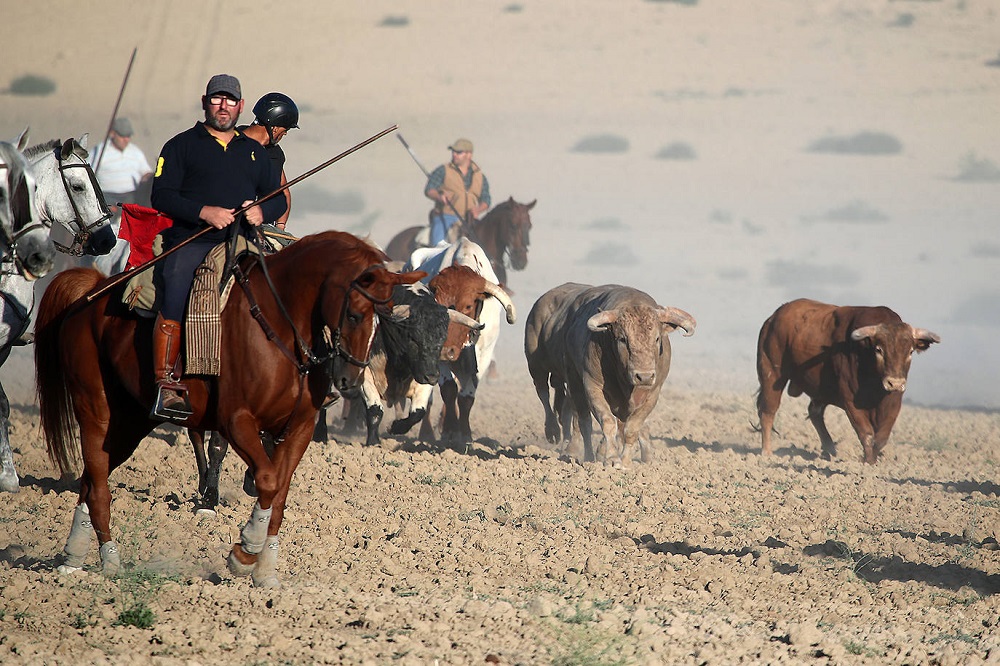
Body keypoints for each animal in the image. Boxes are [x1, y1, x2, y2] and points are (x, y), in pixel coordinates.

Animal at [36, 230, 422, 588]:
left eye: (384, 318)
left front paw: (265, 572)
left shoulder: (298, 429)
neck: (278, 326)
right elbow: (266, 481)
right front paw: (245, 552)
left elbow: (279, 493)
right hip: (95, 410)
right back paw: (106, 560)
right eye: (355, 314)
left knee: (91, 478)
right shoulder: (237, 422)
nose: (350, 380)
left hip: (131, 422)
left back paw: (74, 557)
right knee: (99, 482)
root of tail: (93, 291)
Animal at [524, 282, 696, 464]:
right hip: (546, 371)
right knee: (560, 406)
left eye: (657, 338)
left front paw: (626, 461)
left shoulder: (652, 394)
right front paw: (612, 457)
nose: (644, 376)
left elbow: (633, 428)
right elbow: (607, 423)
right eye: (622, 339)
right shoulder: (592, 386)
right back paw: (563, 438)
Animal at [756, 296, 944, 462]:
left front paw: (873, 461)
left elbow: (881, 438)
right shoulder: (851, 401)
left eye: (910, 351)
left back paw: (830, 450)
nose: (895, 383)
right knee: (768, 411)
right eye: (879, 349)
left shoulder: (893, 402)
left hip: (821, 390)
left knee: (815, 412)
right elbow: (866, 433)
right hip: (772, 374)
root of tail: (775, 317)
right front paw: (867, 462)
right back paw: (767, 452)